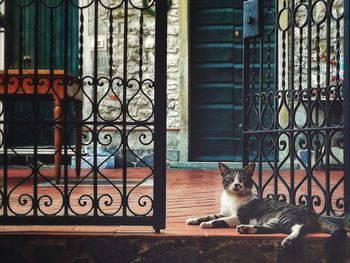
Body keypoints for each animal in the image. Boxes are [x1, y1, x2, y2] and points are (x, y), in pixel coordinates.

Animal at [187, 163, 346, 250]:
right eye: (230, 179)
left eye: (243, 179)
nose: (237, 185)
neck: (231, 198)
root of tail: (314, 213)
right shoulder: (224, 212)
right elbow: (210, 215)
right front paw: (194, 219)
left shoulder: (239, 217)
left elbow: (219, 220)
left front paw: (207, 224)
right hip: (272, 221)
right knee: (270, 229)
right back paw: (245, 229)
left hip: (286, 216)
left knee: (298, 228)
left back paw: (288, 240)